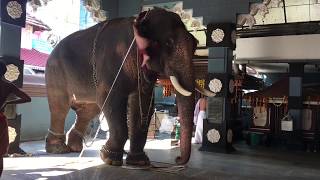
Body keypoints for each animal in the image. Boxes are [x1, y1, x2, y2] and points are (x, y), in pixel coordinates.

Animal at [45, 8, 214, 166]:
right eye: (168, 43)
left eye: (195, 45)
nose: (177, 159)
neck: (140, 21)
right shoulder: (112, 62)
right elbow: (111, 99)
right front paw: (109, 159)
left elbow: (143, 103)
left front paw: (139, 162)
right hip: (54, 72)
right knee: (60, 106)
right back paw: (58, 149)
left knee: (88, 110)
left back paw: (75, 148)